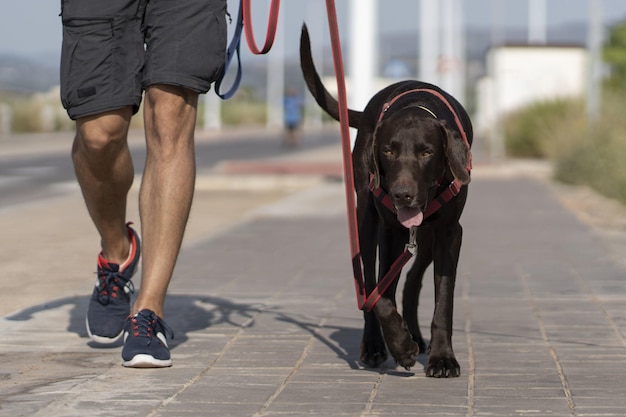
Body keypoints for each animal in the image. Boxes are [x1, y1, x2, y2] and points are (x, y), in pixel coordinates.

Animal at [300, 25, 470, 376]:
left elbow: (443, 300)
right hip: (366, 223)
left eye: (427, 152)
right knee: (372, 285)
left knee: (412, 282)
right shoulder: (387, 230)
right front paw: (401, 346)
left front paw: (442, 357)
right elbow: (379, 293)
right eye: (389, 151)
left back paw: (417, 336)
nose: (401, 194)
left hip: (427, 240)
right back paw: (378, 345)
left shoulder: (450, 233)